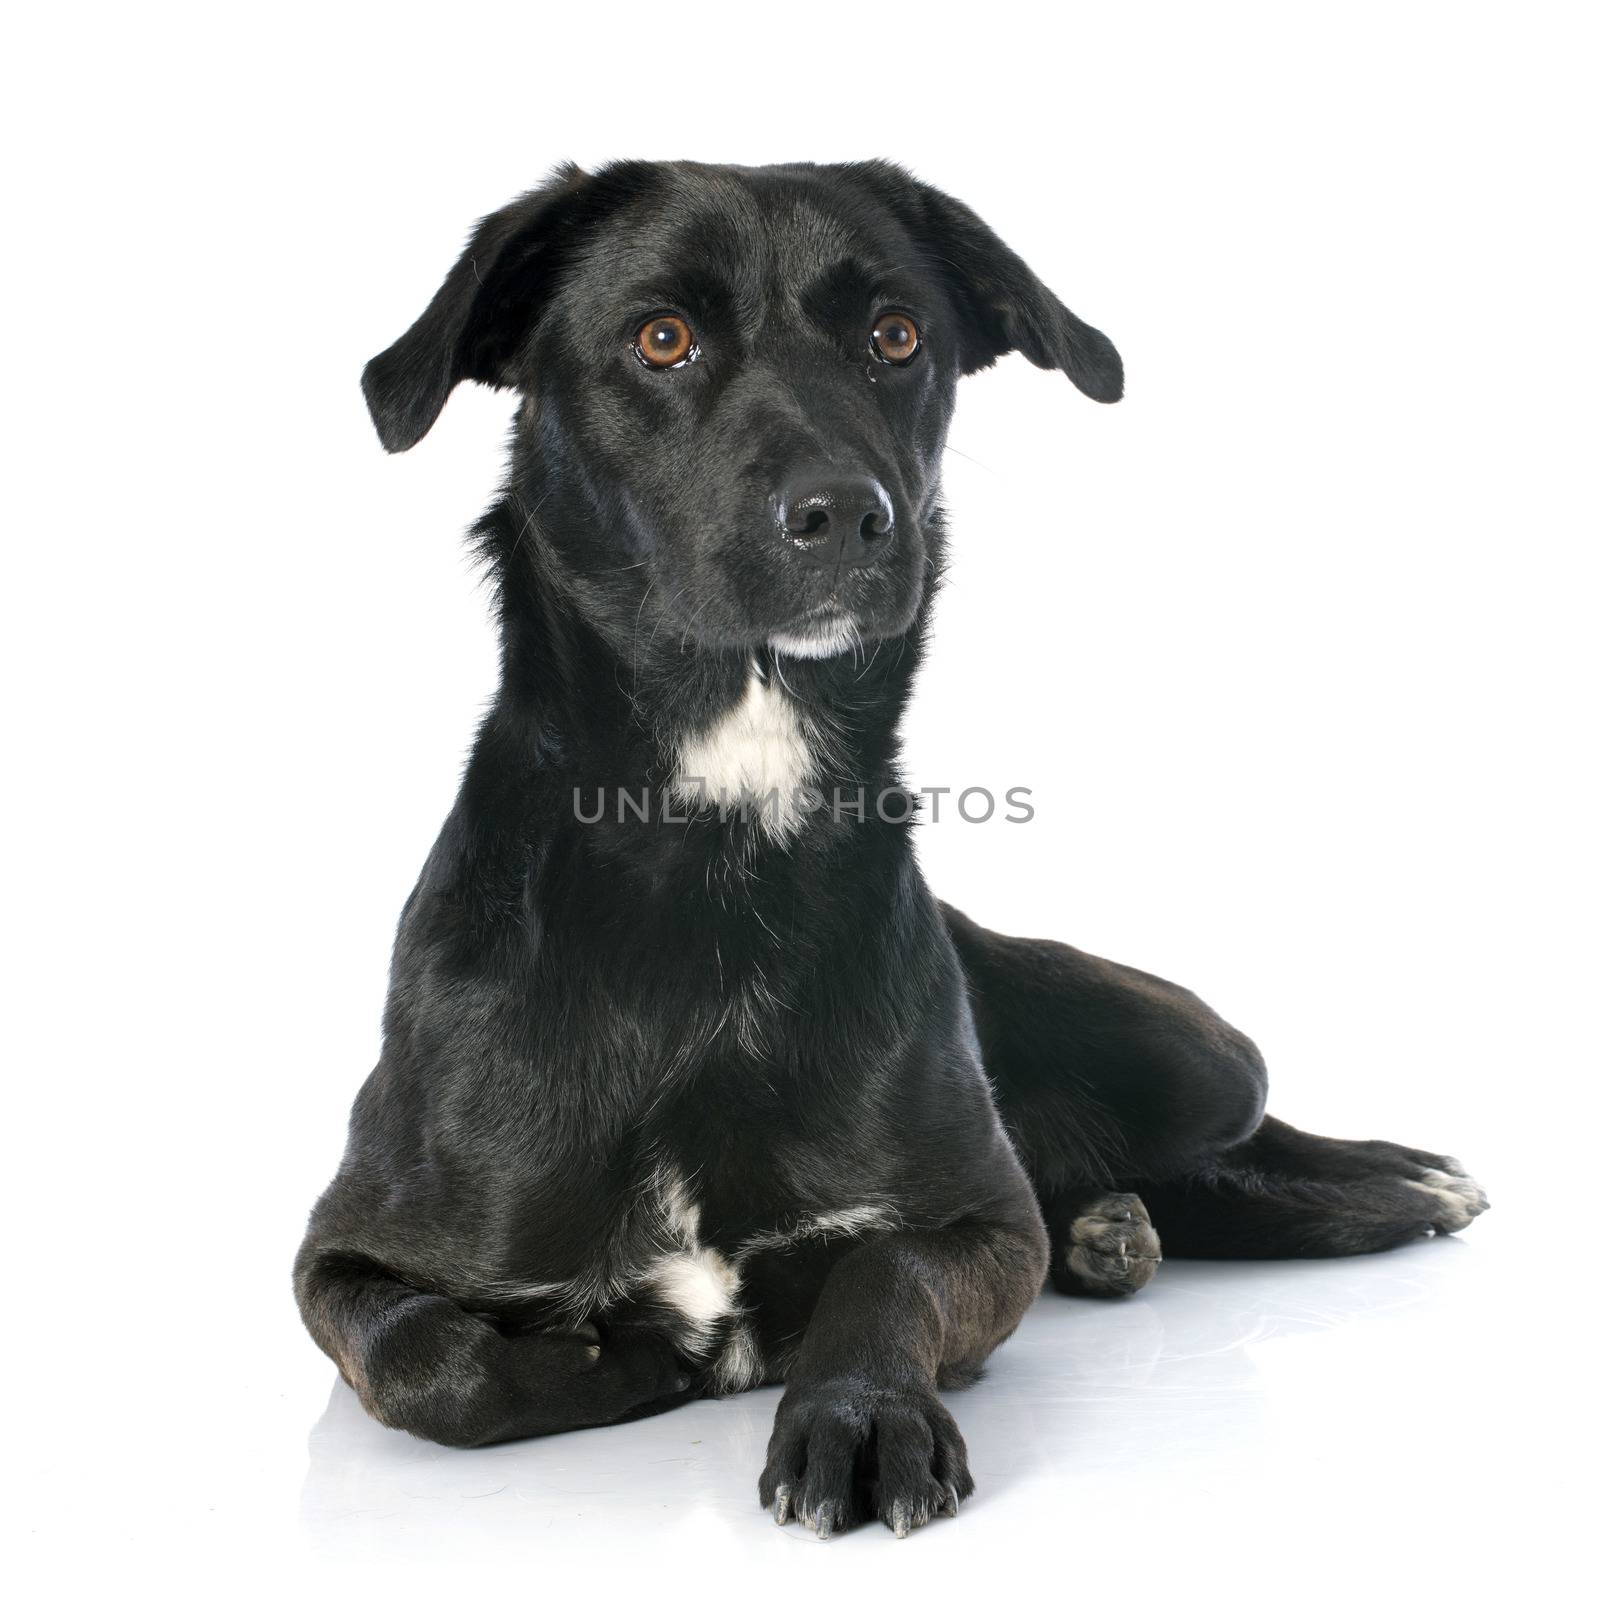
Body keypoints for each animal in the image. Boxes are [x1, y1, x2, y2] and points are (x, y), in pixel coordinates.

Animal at [297, 159, 1484, 1536]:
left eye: (896, 336)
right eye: (662, 338)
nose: (844, 516)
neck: (721, 840)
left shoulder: (976, 1220)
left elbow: (885, 1277)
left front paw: (858, 1412)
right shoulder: (341, 1256)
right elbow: (442, 1362)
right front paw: (616, 1360)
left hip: (1190, 1049)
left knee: (1232, 1143)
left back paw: (1393, 1179)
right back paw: (1125, 1227)